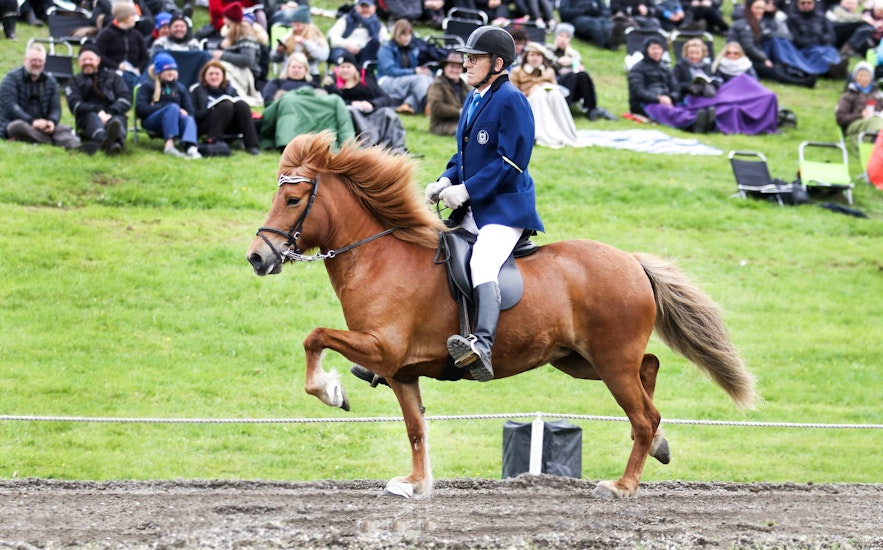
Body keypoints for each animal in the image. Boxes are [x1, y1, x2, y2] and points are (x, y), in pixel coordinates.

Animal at [245, 133, 756, 500]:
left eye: (293, 201)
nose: (257, 258)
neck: (380, 258)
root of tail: (631, 262)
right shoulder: (399, 371)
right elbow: (415, 429)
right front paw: (416, 484)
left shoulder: (382, 347)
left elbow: (314, 337)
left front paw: (330, 391)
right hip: (579, 359)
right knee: (649, 370)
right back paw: (661, 445)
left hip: (610, 360)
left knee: (644, 414)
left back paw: (623, 486)